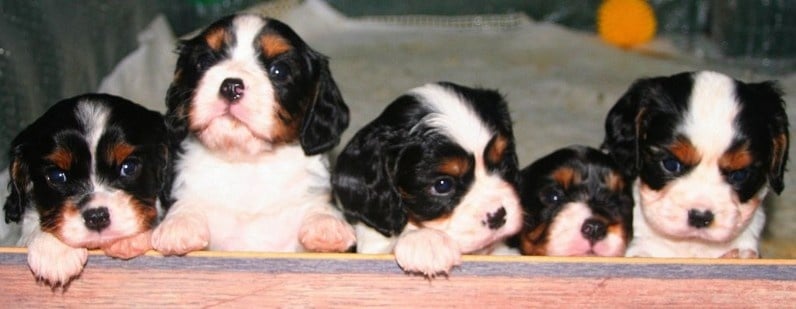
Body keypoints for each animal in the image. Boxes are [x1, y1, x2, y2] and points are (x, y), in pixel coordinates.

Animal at [152, 14, 354, 254]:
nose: (231, 86)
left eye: (280, 70)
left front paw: (327, 225)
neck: (247, 165)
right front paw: (178, 225)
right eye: (204, 61)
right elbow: (187, 202)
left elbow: (318, 205)